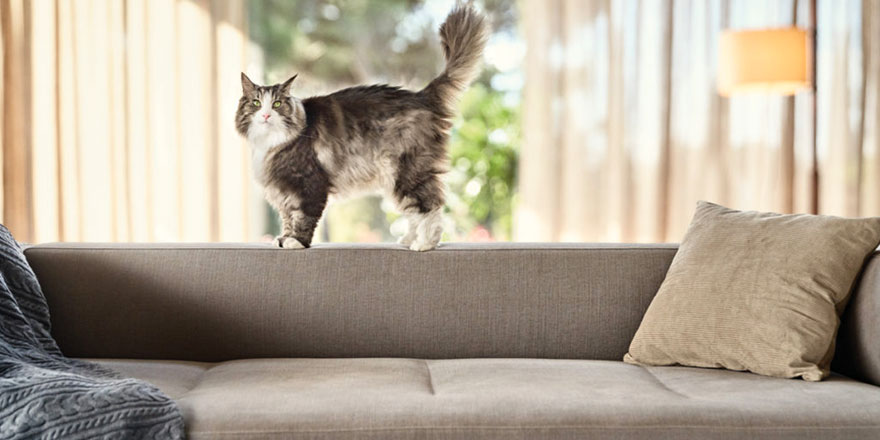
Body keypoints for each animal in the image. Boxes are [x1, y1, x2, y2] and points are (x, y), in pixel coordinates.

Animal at [234, 0, 488, 251]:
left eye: (277, 103)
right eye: (256, 103)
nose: (266, 115)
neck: (270, 144)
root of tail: (421, 96)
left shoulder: (310, 185)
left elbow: (304, 218)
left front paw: (296, 242)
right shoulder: (283, 193)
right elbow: (288, 218)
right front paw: (283, 238)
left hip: (408, 171)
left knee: (429, 207)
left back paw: (424, 244)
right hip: (395, 178)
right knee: (414, 211)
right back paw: (408, 239)